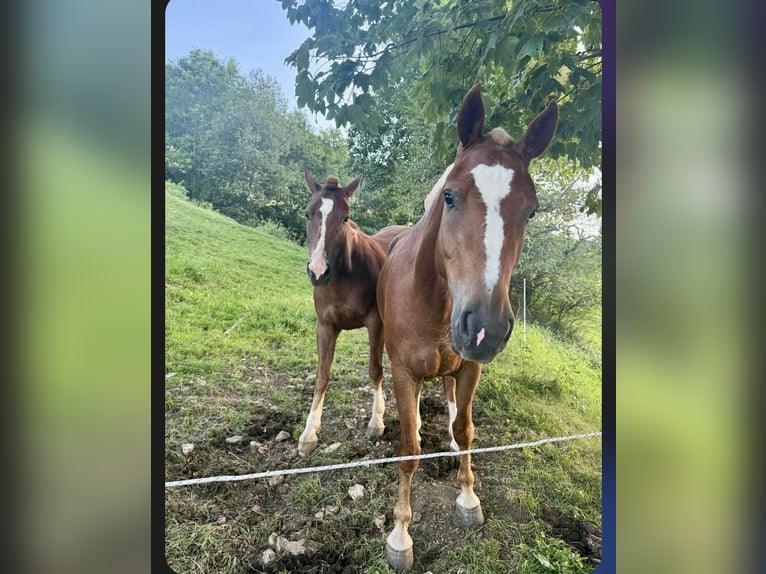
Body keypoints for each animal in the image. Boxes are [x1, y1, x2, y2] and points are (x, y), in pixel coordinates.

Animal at [298, 171, 408, 454]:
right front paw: (309, 433)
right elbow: (321, 376)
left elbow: (375, 370)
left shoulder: (376, 324)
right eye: (307, 213)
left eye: (345, 218)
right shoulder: (325, 326)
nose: (318, 271)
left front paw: (376, 422)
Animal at [378, 84, 560, 572]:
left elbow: (465, 430)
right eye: (450, 196)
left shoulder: (470, 367)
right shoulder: (404, 372)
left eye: (531, 212)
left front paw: (468, 498)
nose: (486, 328)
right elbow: (408, 450)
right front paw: (400, 536)